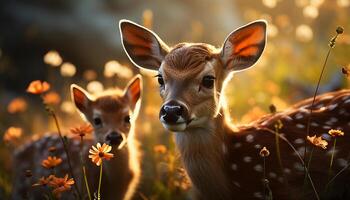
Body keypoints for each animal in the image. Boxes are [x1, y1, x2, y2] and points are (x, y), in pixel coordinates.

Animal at [11, 75, 142, 200]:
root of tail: (17, 152)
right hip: (21, 188)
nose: (114, 136)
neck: (114, 182)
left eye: (128, 117)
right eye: (97, 120)